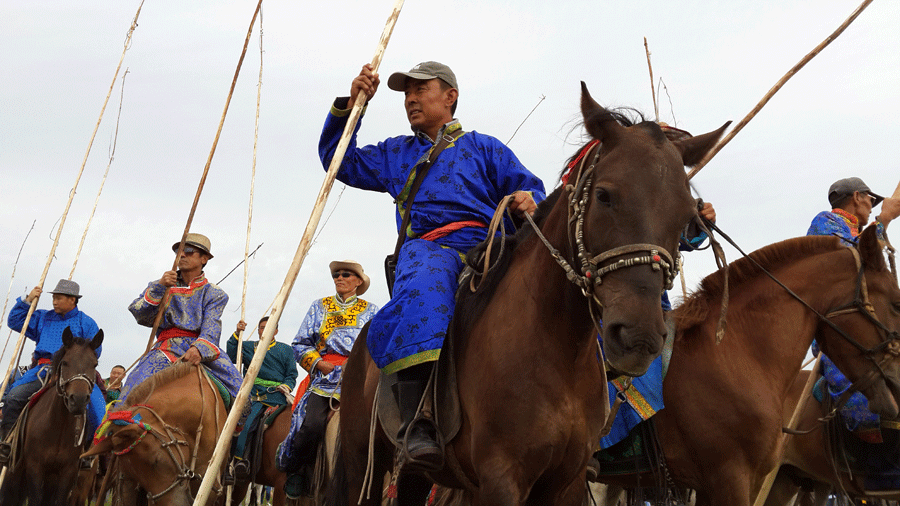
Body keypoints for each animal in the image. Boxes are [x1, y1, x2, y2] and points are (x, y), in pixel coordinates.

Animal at [0, 328, 103, 506]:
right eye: (66, 362)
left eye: (94, 364)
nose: (78, 400)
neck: (58, 426)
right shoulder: (35, 467)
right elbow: (35, 499)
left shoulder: (67, 472)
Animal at [326, 83, 728, 506]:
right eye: (604, 195)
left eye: (688, 215)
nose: (640, 336)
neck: (557, 349)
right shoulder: (503, 477)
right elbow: (349, 162)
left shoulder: (567, 481)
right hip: (361, 464)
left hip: (415, 474)